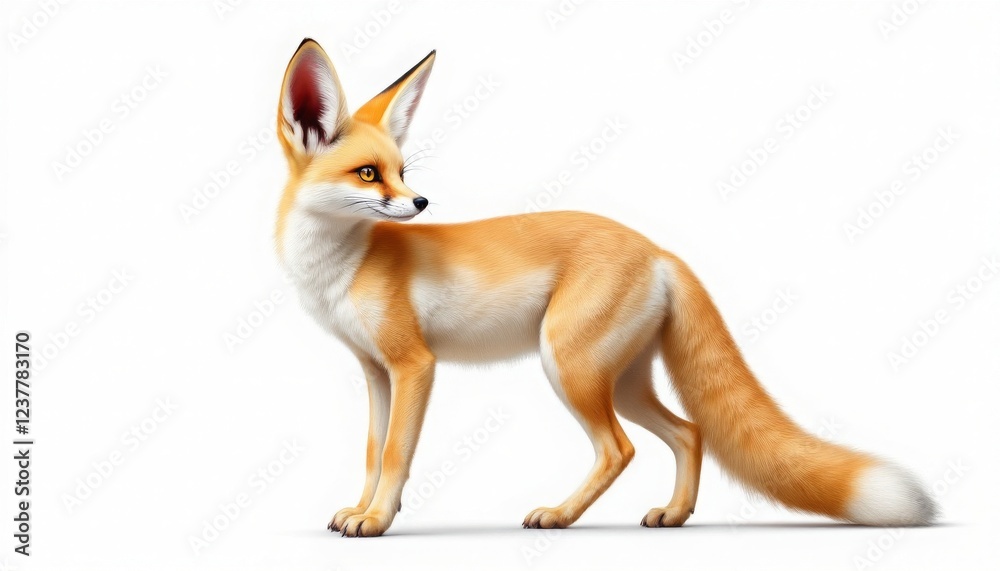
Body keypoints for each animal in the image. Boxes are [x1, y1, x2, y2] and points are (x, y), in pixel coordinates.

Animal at [274, 38, 937, 537]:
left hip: (569, 367)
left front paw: (378, 521)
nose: (420, 203)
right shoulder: (375, 371)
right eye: (369, 173)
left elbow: (394, 456)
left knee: (620, 449)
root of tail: (657, 250)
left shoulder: (415, 365)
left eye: (401, 171)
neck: (336, 270)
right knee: (689, 431)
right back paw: (675, 514)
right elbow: (372, 453)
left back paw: (561, 515)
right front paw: (360, 511)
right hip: (623, 381)